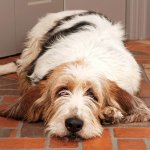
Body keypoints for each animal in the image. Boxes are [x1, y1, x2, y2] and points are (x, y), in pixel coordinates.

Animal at [0, 10, 150, 141]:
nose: (73, 124)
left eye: (92, 95)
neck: (84, 58)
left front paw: (110, 112)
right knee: (20, 65)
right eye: (62, 92)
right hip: (34, 42)